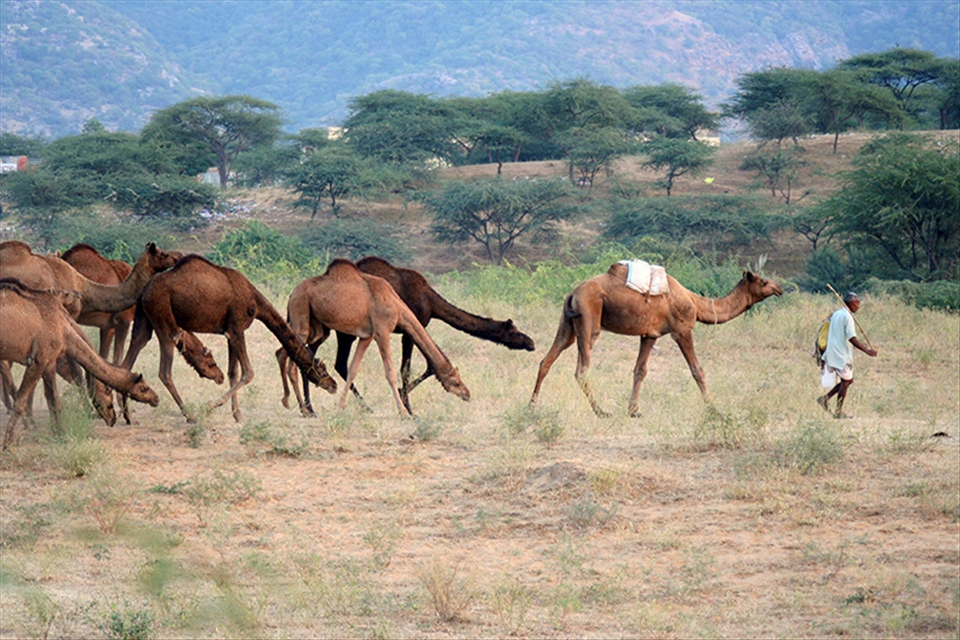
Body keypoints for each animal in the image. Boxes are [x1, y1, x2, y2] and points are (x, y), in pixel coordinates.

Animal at [0, 279, 159, 449]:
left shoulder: (49, 361)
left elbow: (53, 400)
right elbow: (20, 401)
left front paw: (61, 435)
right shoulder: (38, 360)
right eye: (143, 388)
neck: (63, 329)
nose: (156, 399)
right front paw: (7, 443)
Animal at [120, 255, 337, 423]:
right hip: (164, 320)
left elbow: (233, 372)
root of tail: (144, 291)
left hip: (144, 320)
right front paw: (212, 405)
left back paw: (127, 416)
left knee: (130, 358)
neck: (256, 302)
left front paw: (237, 415)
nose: (333, 385)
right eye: (322, 369)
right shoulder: (237, 328)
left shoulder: (228, 331)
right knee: (165, 371)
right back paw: (189, 415)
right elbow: (248, 372)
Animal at [277, 259, 470, 417]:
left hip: (315, 326)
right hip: (301, 312)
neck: (397, 306)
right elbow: (390, 372)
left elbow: (353, 369)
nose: (467, 394)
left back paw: (292, 403)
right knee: (293, 361)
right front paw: (404, 413)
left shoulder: (367, 336)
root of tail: (293, 292)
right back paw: (304, 409)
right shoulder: (382, 332)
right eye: (456, 382)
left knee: (284, 351)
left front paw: (341, 406)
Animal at [327, 256, 534, 412]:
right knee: (341, 363)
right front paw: (408, 406)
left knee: (340, 363)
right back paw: (365, 406)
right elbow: (409, 369)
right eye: (514, 332)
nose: (531, 343)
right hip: (347, 328)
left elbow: (427, 366)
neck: (431, 303)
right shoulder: (411, 327)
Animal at [530, 263, 783, 417]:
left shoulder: (650, 334)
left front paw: (634, 410)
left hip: (567, 325)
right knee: (581, 370)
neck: (696, 303)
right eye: (762, 281)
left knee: (546, 361)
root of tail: (572, 294)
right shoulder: (681, 329)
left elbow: (639, 370)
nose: (779, 287)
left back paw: (532, 405)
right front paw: (714, 409)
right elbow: (697, 370)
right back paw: (601, 411)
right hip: (589, 320)